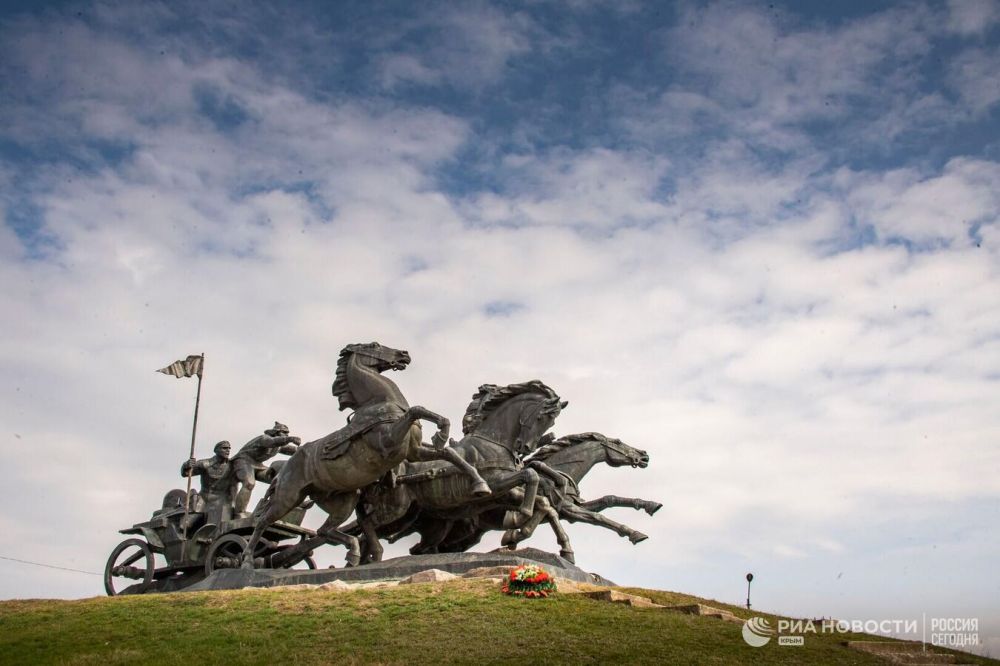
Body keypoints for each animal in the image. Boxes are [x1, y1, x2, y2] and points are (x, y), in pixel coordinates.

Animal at [243, 342, 492, 564]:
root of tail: (283, 468)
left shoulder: (414, 452)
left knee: (325, 531)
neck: (380, 402)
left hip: (343, 500)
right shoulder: (389, 442)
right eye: (374, 345)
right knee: (263, 522)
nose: (404, 354)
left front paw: (480, 483)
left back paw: (353, 553)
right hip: (289, 497)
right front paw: (440, 434)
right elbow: (416, 409)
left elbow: (451, 454)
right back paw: (246, 559)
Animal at [352, 382, 576, 564]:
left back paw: (364, 560)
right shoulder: (495, 485)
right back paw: (362, 558)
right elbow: (531, 476)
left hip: (410, 516)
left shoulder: (505, 494)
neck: (492, 442)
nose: (526, 447)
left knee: (374, 534)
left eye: (551, 422)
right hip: (396, 510)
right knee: (366, 526)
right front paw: (519, 521)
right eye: (542, 417)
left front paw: (564, 550)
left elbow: (544, 502)